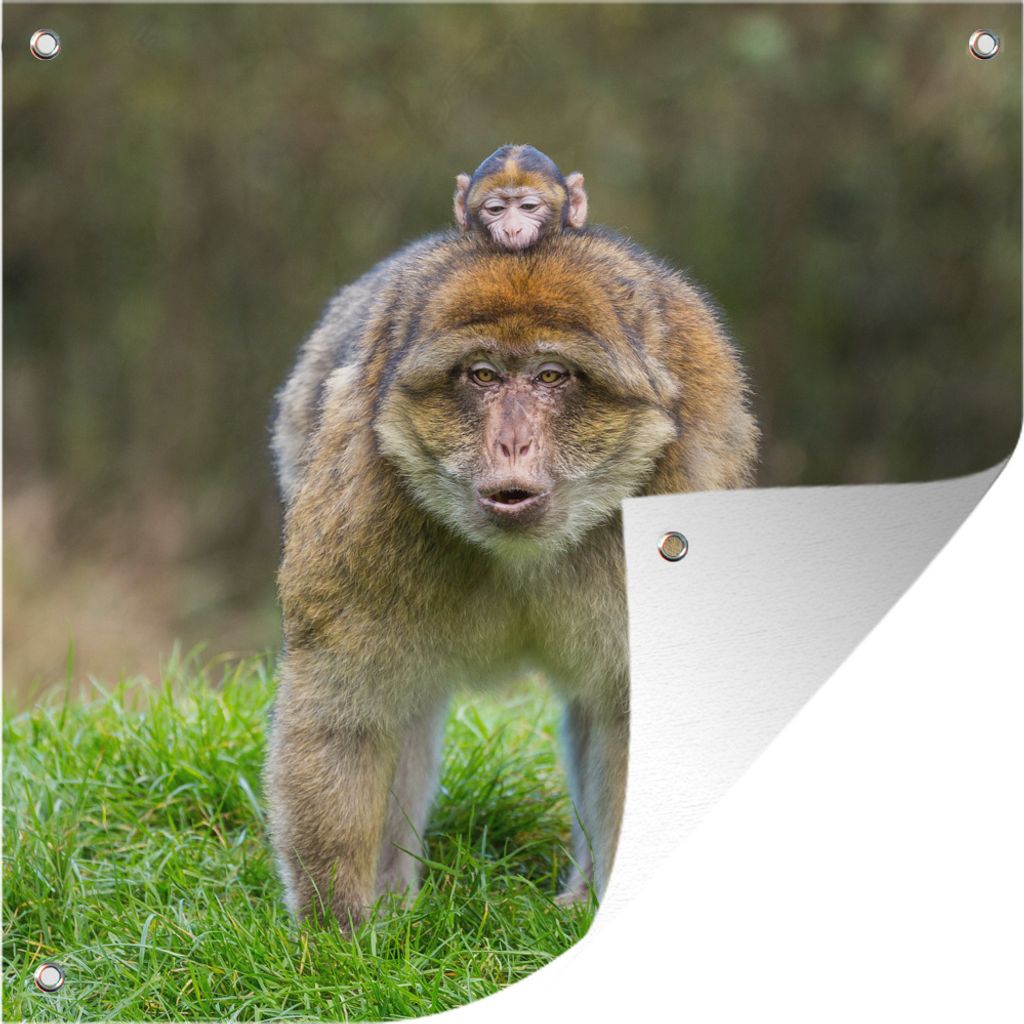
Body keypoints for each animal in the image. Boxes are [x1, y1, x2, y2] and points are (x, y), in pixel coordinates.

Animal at [267, 226, 758, 929]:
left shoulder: (681, 485)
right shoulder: (363, 497)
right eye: (483, 376)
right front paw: (340, 932)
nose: (512, 444)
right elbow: (347, 705)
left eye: (551, 376)